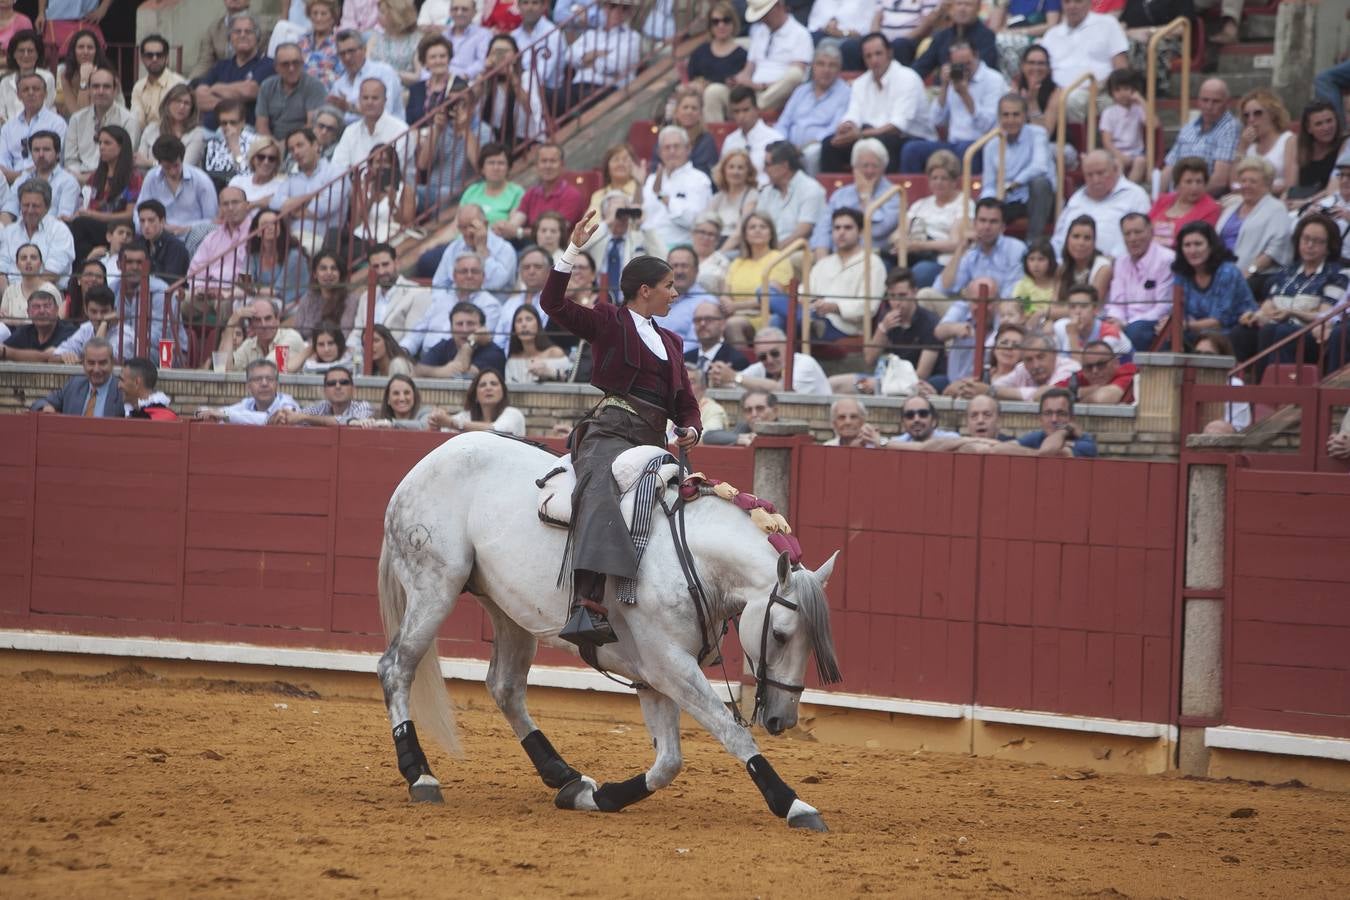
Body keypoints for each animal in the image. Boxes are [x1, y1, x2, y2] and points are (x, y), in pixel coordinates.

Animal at [380, 431, 837, 836]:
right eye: (779, 634)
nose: (782, 719)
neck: (694, 558)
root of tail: (426, 463)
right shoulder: (669, 665)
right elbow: (731, 732)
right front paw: (794, 804)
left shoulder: (653, 675)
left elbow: (668, 761)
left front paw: (597, 798)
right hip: (434, 587)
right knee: (397, 667)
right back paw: (420, 775)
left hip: (508, 610)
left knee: (505, 687)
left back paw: (565, 776)